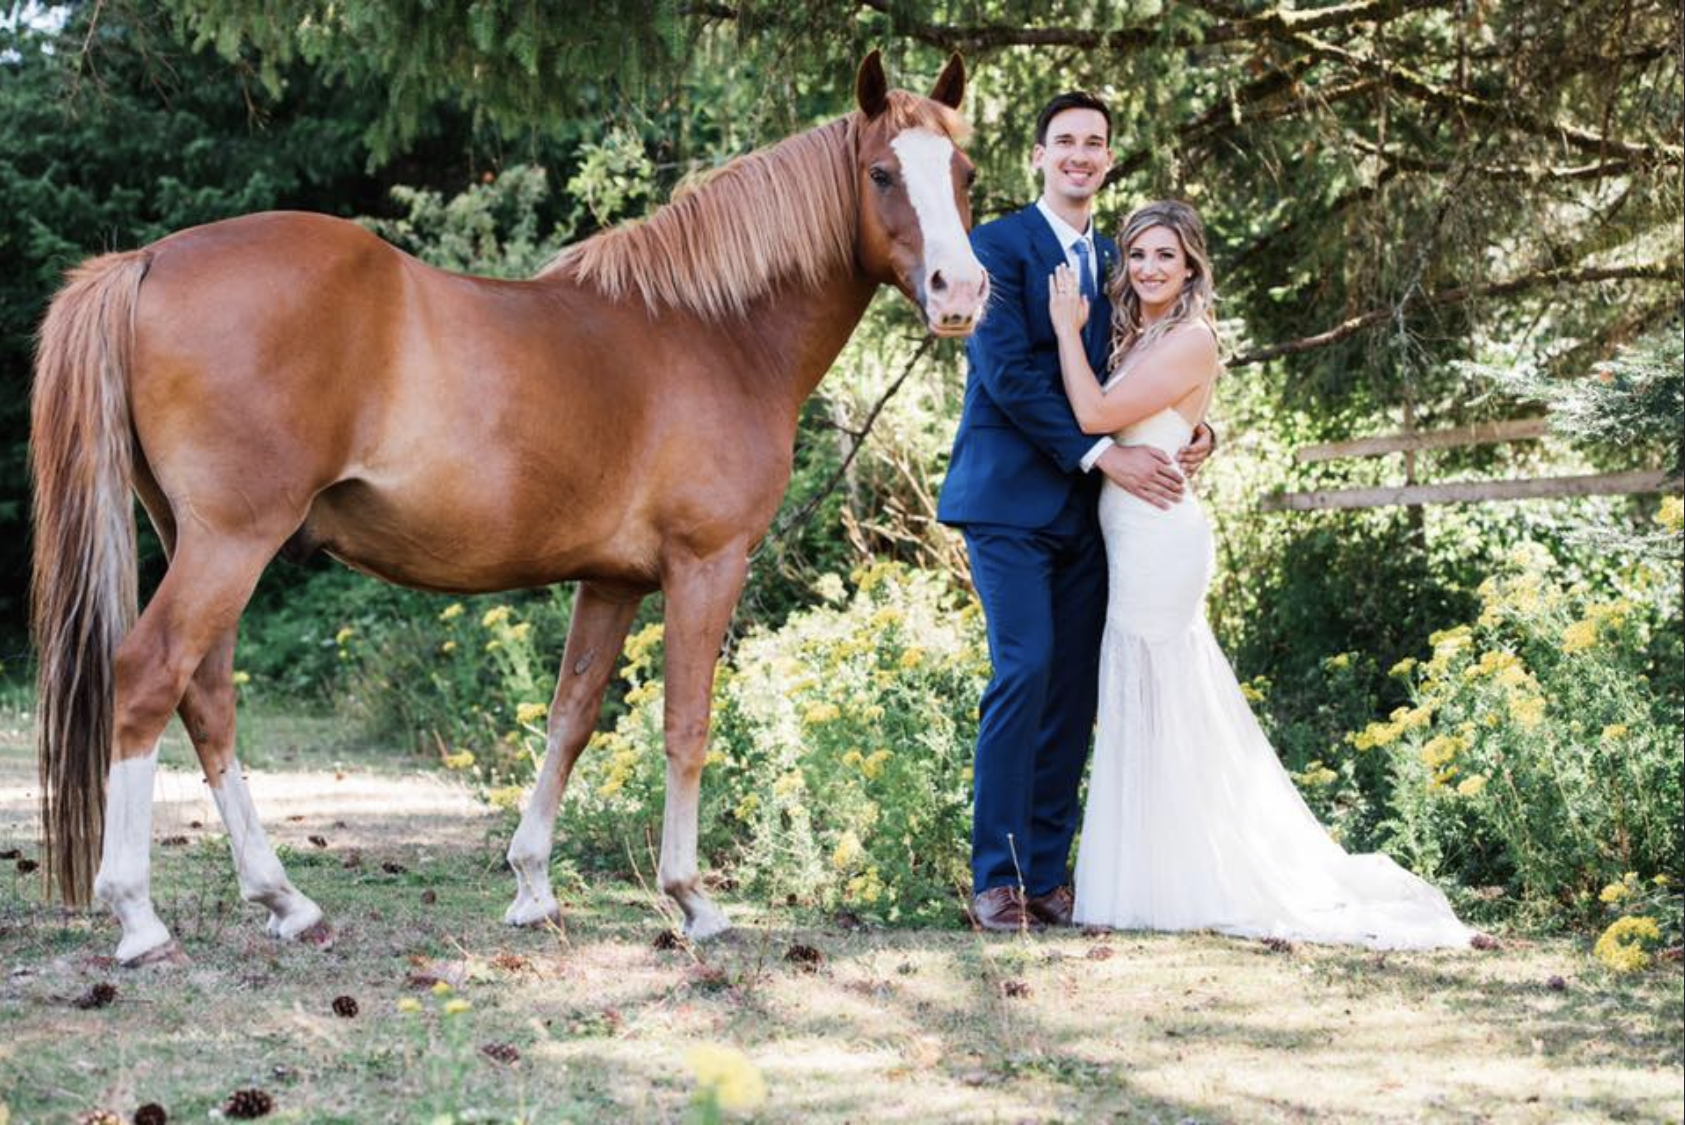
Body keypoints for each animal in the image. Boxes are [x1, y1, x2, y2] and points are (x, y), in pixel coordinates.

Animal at [29, 52, 984, 963]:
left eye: (964, 171)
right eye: (880, 173)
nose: (960, 292)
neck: (717, 331)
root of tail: (146, 260)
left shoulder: (612, 581)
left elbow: (570, 717)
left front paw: (532, 885)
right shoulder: (706, 565)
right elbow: (685, 724)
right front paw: (692, 900)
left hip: (203, 541)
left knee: (208, 697)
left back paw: (286, 901)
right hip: (230, 543)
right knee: (149, 675)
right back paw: (140, 917)